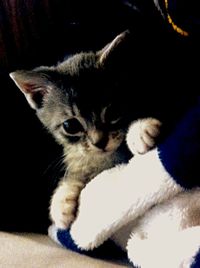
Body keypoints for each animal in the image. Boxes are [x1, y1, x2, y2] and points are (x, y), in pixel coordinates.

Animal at [9, 30, 161, 228]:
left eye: (113, 111)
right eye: (70, 126)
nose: (100, 142)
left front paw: (140, 130)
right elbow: (77, 172)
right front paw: (61, 201)